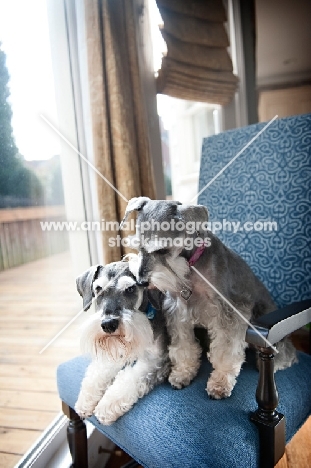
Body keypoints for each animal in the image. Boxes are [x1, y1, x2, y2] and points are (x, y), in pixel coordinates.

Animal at [74, 256, 171, 424]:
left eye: (130, 289)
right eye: (98, 289)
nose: (108, 324)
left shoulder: (156, 360)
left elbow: (131, 377)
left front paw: (107, 405)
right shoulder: (117, 353)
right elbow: (99, 371)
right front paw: (86, 399)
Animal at [119, 197, 298, 398]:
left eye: (162, 250)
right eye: (138, 247)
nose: (141, 281)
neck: (190, 265)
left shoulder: (230, 310)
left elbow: (226, 349)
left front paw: (220, 381)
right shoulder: (177, 309)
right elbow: (182, 344)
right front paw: (183, 372)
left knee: (284, 348)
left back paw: (280, 360)